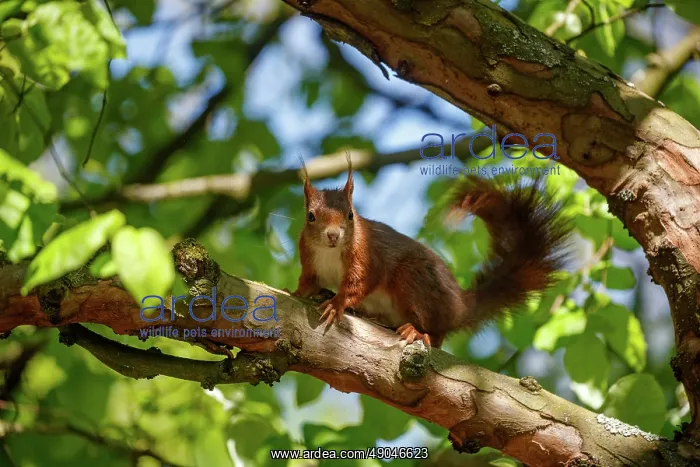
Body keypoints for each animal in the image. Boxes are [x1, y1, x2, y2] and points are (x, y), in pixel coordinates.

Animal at [290, 155, 571, 349]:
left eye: (350, 215)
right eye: (311, 216)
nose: (333, 235)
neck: (329, 252)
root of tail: (459, 306)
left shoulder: (368, 256)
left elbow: (359, 284)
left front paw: (336, 304)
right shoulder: (310, 261)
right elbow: (307, 283)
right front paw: (295, 293)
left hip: (415, 280)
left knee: (438, 336)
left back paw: (418, 332)